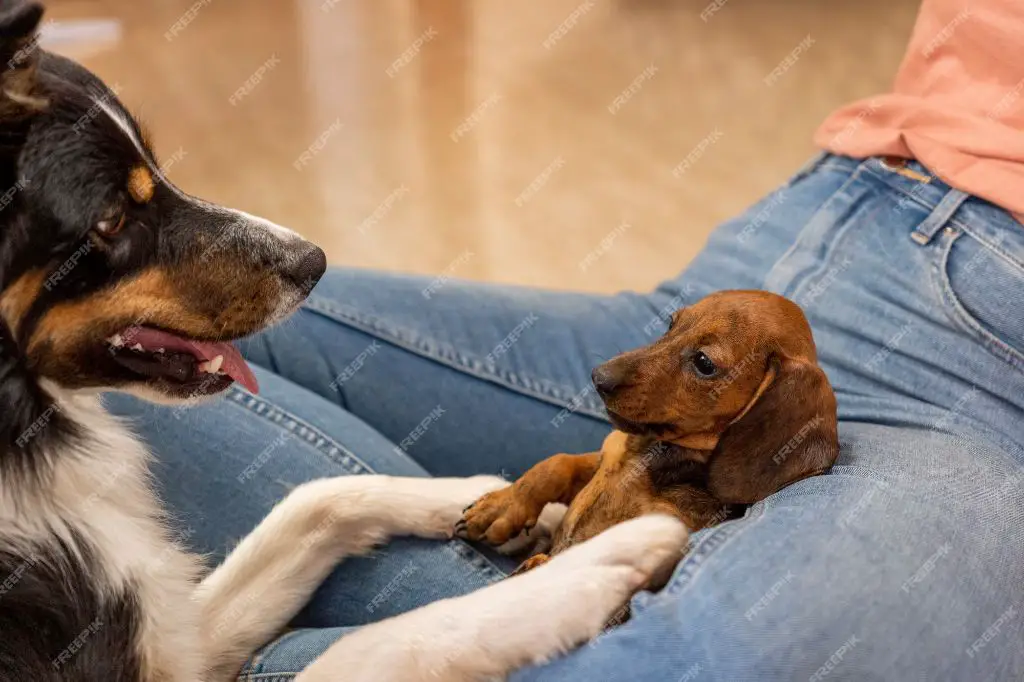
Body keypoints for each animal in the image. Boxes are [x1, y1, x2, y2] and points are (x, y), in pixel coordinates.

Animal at [456, 286, 839, 573]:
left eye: (704, 363)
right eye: (671, 324)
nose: (598, 377)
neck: (657, 455)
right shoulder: (603, 456)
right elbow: (555, 464)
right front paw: (501, 507)